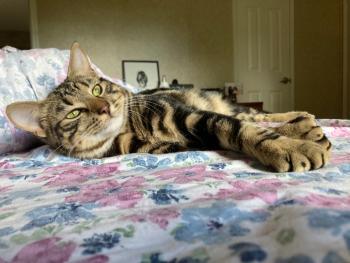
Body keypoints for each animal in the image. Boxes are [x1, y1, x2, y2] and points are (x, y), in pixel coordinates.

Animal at [5, 43, 330, 173]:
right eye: (73, 113)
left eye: (97, 89)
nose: (104, 107)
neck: (130, 128)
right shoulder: (180, 143)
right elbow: (238, 131)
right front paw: (294, 143)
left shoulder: (192, 116)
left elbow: (243, 129)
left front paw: (291, 145)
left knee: (257, 115)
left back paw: (304, 121)